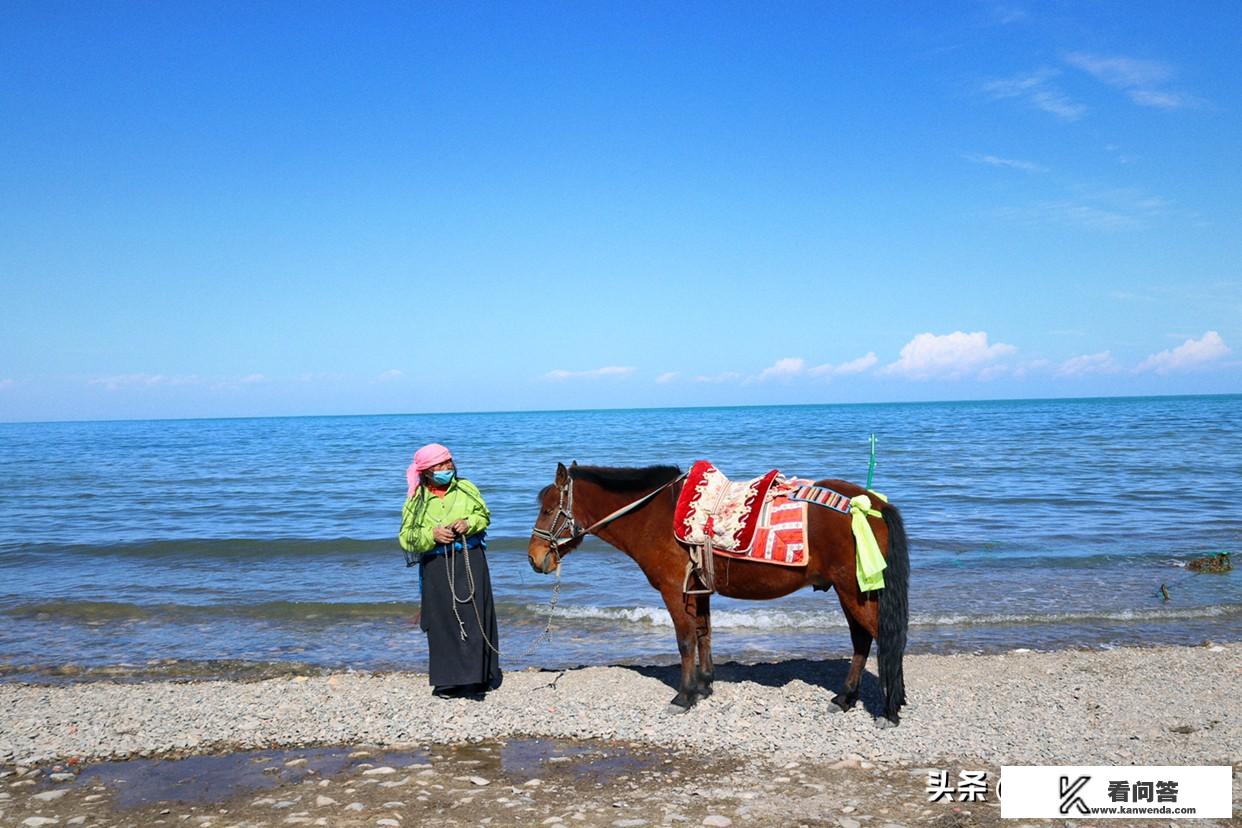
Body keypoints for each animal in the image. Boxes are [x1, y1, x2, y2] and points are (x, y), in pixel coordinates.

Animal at [526, 466, 914, 724]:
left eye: (547, 509)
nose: (534, 558)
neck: (654, 516)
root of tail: (871, 504)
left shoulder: (674, 591)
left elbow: (685, 641)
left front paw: (683, 696)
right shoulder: (698, 590)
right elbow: (704, 634)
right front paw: (704, 686)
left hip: (855, 591)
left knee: (883, 640)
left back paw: (889, 709)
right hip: (853, 591)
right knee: (863, 641)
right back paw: (846, 697)